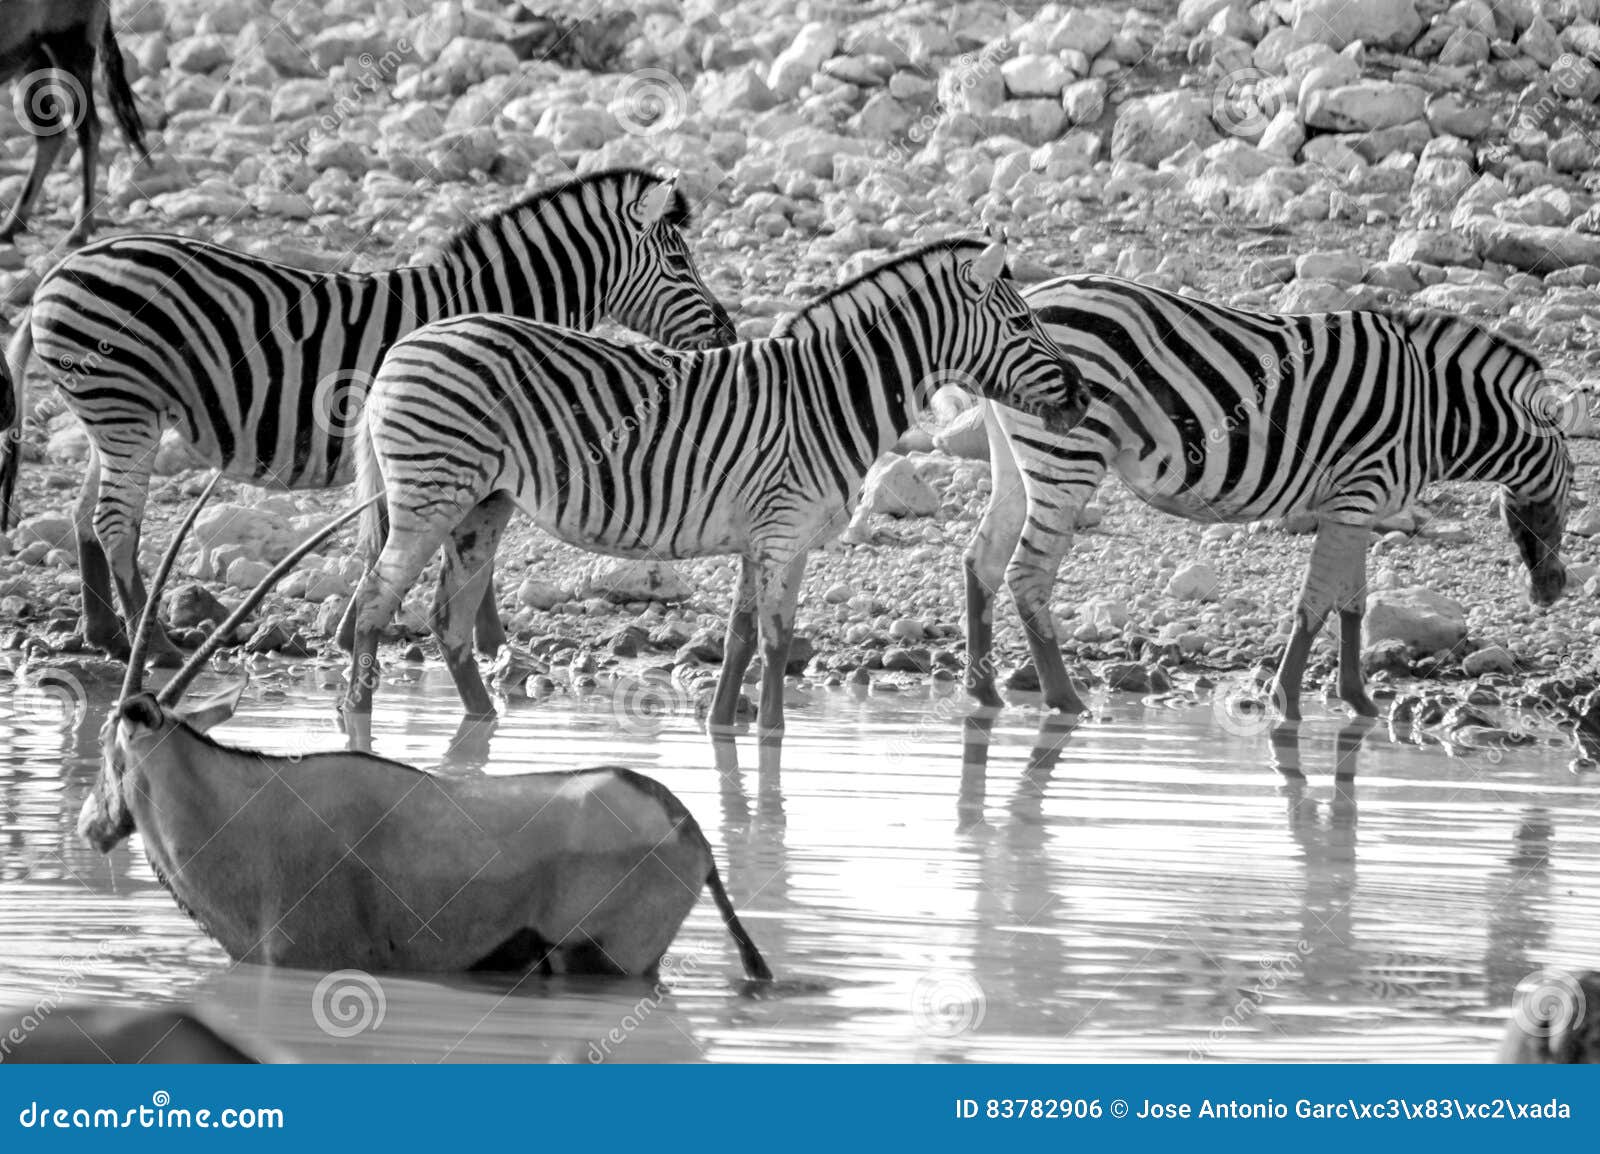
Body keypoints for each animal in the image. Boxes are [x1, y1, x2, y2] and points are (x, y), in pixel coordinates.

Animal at [0, 166, 736, 662]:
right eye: (679, 262)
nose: (729, 332)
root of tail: (55, 272)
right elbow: (464, 553)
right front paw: (489, 641)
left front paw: (479, 639)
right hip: (123, 404)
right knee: (114, 522)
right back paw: (154, 648)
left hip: (122, 414)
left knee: (85, 515)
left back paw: (105, 635)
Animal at [344, 238, 1094, 733]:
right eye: (1023, 322)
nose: (1085, 396)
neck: (830, 396)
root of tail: (406, 345)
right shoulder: (784, 532)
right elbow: (777, 642)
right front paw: (771, 738)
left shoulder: (764, 537)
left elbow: (739, 637)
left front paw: (724, 726)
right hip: (432, 494)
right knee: (373, 604)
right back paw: (355, 721)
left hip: (482, 504)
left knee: (445, 621)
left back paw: (481, 721)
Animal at [960, 273, 1574, 717]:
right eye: (1571, 495)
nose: (1552, 591)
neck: (1437, 409)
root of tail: (1036, 295)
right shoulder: (1359, 491)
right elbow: (1316, 602)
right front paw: (1287, 707)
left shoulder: (1357, 504)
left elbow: (1353, 602)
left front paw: (1359, 703)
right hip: (1069, 453)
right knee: (1026, 574)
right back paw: (1066, 703)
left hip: (1018, 456)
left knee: (982, 558)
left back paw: (983, 693)